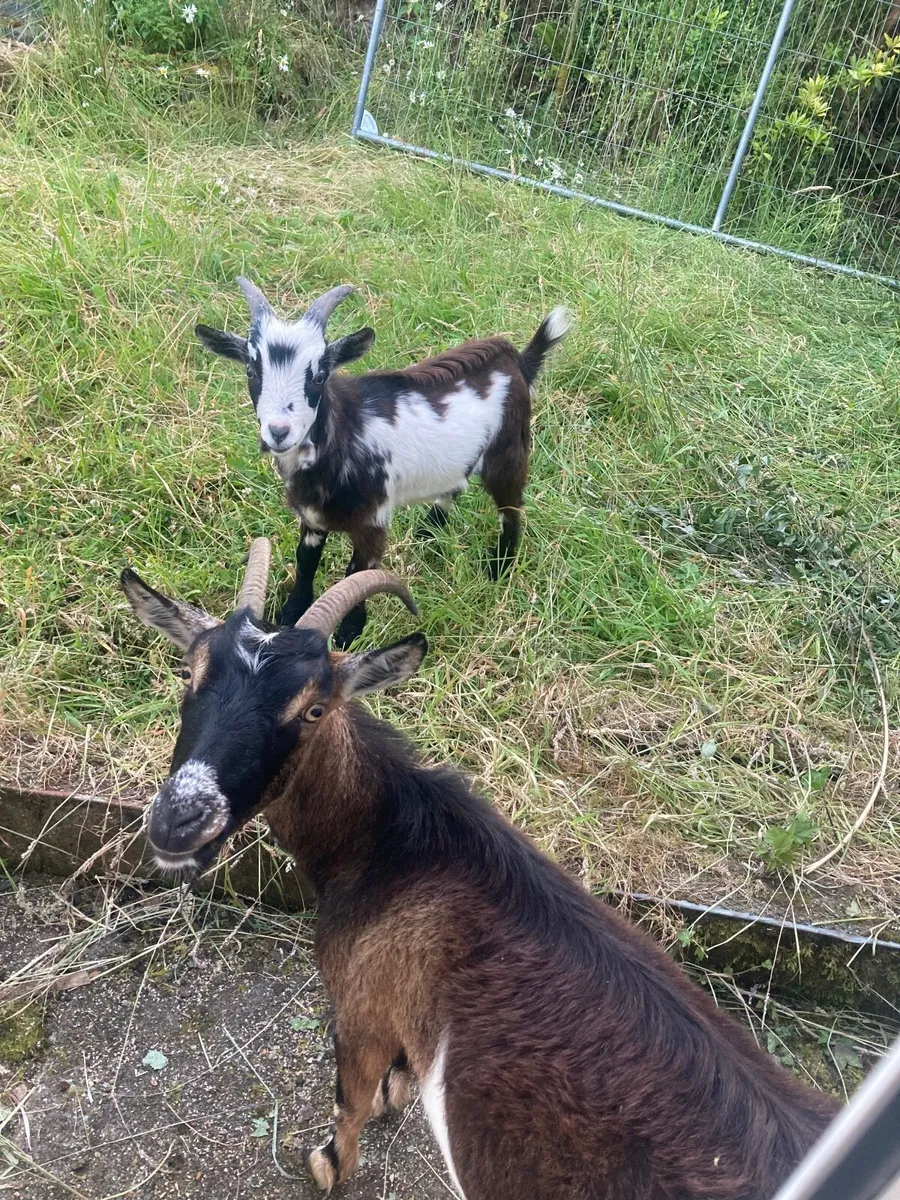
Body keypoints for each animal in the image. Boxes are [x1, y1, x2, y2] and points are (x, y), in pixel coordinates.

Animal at [121, 541, 839, 1200]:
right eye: (188, 674)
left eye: (314, 710)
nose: (180, 820)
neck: (397, 848)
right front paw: (396, 1092)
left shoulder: (361, 1005)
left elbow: (347, 1099)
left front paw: (329, 1164)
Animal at [195, 278, 570, 648]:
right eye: (251, 370)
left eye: (319, 375)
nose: (278, 431)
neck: (344, 434)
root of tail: (514, 358)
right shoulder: (312, 517)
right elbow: (306, 561)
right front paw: (291, 612)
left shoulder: (372, 519)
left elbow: (360, 573)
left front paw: (349, 632)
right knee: (456, 483)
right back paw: (430, 530)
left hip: (509, 449)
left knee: (511, 507)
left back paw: (499, 567)